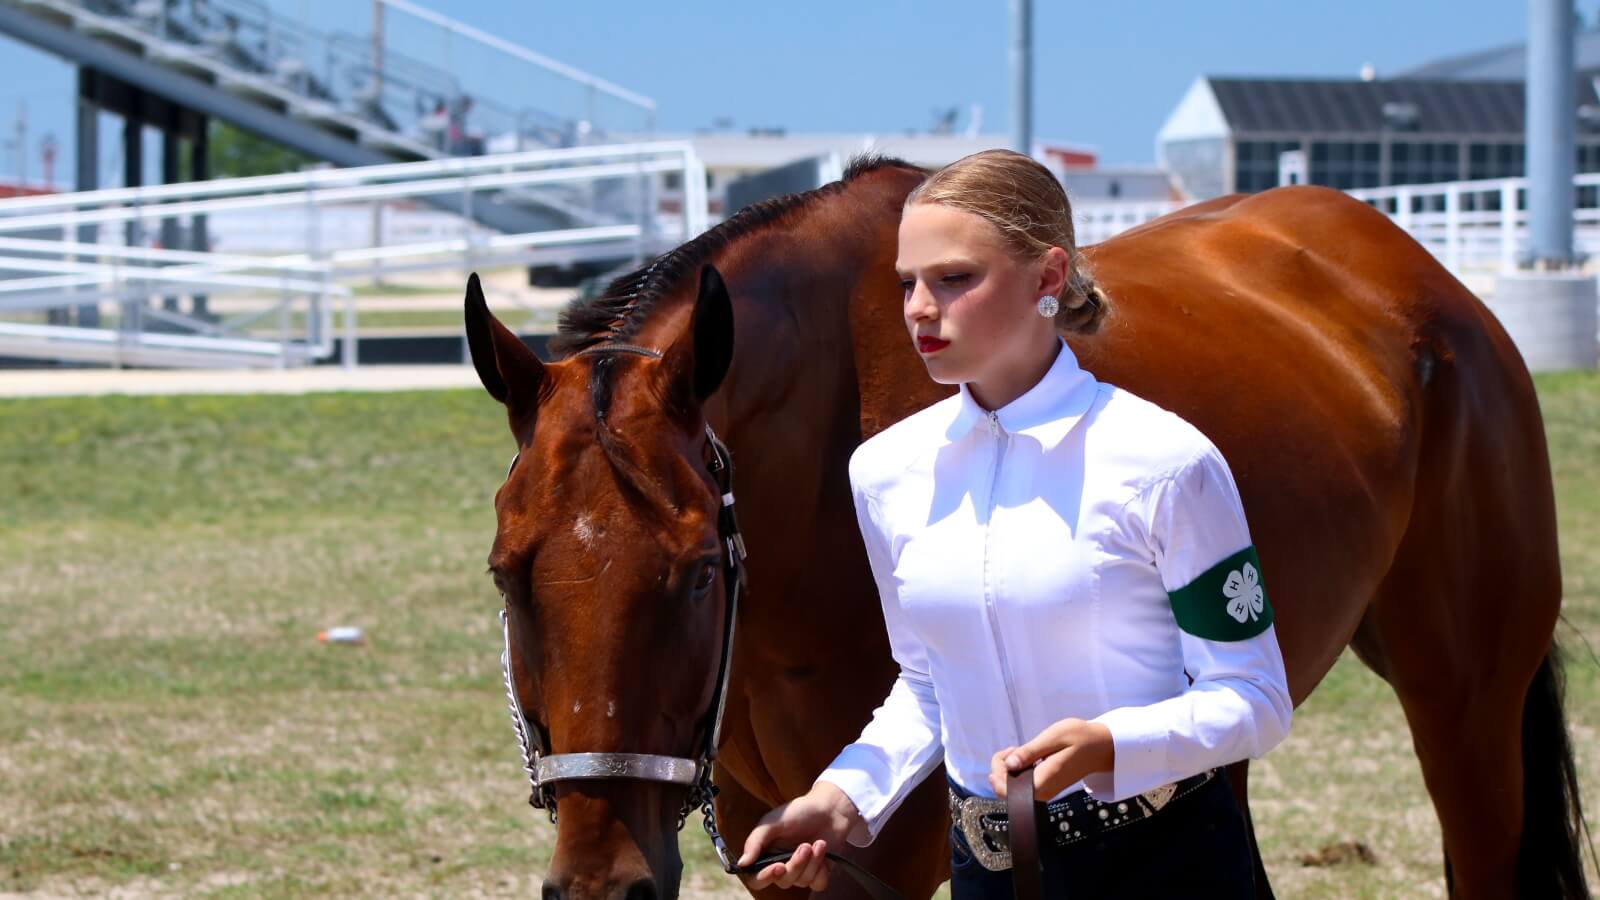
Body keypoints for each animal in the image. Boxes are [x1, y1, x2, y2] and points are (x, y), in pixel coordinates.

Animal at [464, 155, 1592, 900]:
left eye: (699, 571)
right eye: (507, 574)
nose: (601, 884)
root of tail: (1430, 288)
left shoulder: (891, 863)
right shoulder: (779, 844)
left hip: (1464, 708)